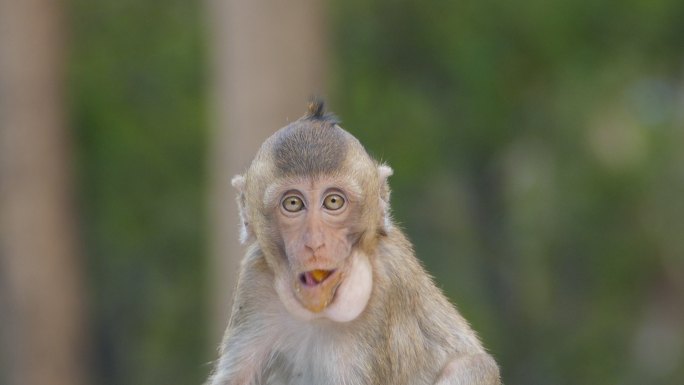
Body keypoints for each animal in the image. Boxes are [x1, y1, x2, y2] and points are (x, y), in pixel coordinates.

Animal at [206, 100, 500, 384]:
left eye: (333, 201)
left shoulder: (387, 288)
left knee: (474, 365)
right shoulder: (253, 280)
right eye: (293, 204)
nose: (315, 243)